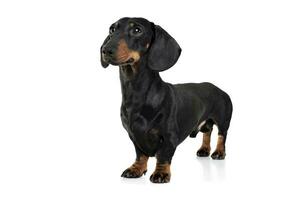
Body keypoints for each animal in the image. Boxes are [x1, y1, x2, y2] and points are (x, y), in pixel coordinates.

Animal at [101, 17, 232, 183]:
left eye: (137, 30)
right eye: (112, 29)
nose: (106, 50)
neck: (136, 94)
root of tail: (219, 89)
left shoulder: (169, 136)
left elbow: (163, 156)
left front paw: (161, 173)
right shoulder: (134, 136)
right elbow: (140, 154)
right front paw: (136, 169)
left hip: (223, 120)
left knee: (222, 136)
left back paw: (219, 152)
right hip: (206, 123)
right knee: (207, 131)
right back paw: (204, 150)